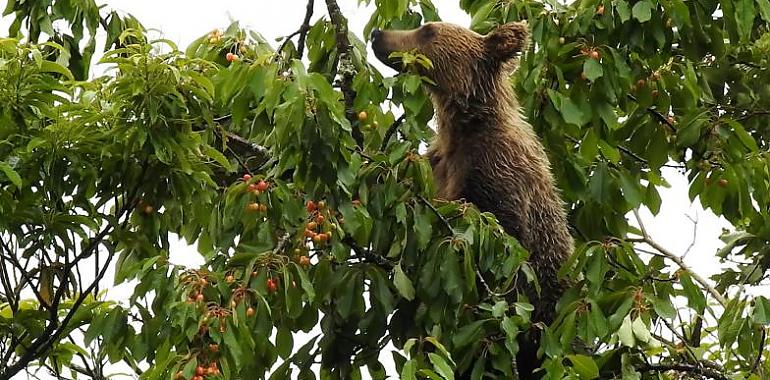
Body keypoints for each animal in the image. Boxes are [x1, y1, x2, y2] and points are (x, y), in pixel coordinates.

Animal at [368, 22, 572, 378]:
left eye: (427, 30)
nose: (378, 34)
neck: (464, 125)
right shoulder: (437, 167)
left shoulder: (496, 171)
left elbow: (503, 235)